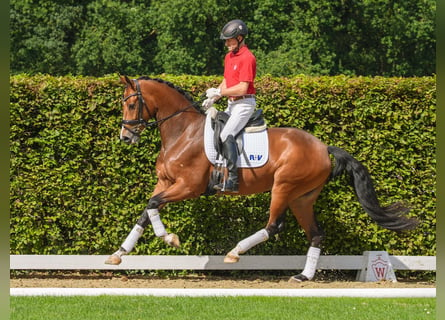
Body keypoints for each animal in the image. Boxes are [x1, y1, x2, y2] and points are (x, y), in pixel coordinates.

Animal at [106, 75, 418, 282]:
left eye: (131, 104)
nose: (125, 137)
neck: (182, 132)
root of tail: (323, 147)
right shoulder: (166, 183)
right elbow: (147, 210)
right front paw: (120, 253)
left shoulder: (188, 187)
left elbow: (153, 205)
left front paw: (169, 238)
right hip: (302, 197)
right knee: (315, 233)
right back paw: (303, 276)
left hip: (283, 187)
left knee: (274, 225)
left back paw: (235, 252)